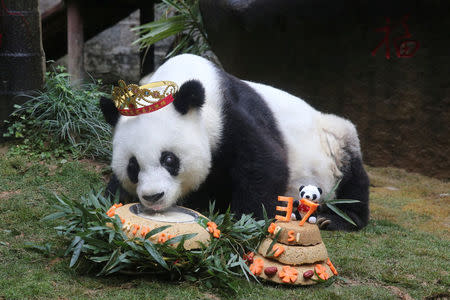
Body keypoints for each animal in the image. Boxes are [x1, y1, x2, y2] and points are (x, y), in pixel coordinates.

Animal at [101, 54, 370, 231]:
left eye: (169, 159)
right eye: (133, 167)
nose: (153, 196)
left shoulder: (231, 115)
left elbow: (264, 164)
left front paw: (244, 222)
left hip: (335, 141)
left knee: (352, 177)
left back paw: (335, 218)